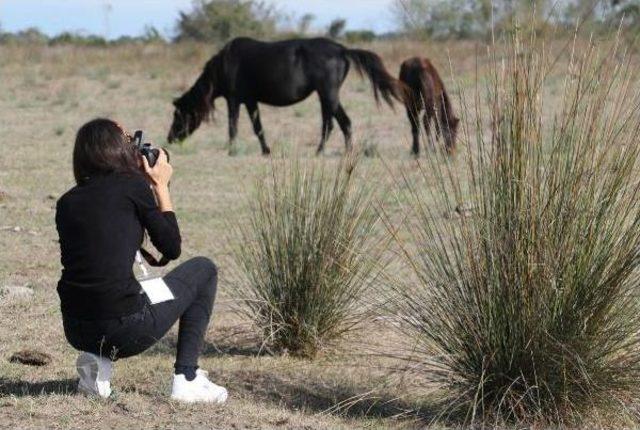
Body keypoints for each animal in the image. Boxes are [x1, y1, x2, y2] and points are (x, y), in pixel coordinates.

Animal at [168, 36, 402, 155]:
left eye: (178, 114)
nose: (170, 138)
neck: (225, 65)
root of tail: (342, 50)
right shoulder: (250, 101)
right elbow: (258, 127)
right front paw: (266, 150)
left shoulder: (233, 100)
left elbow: (232, 126)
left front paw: (232, 151)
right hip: (328, 96)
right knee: (337, 123)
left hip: (327, 94)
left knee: (336, 123)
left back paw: (330, 152)